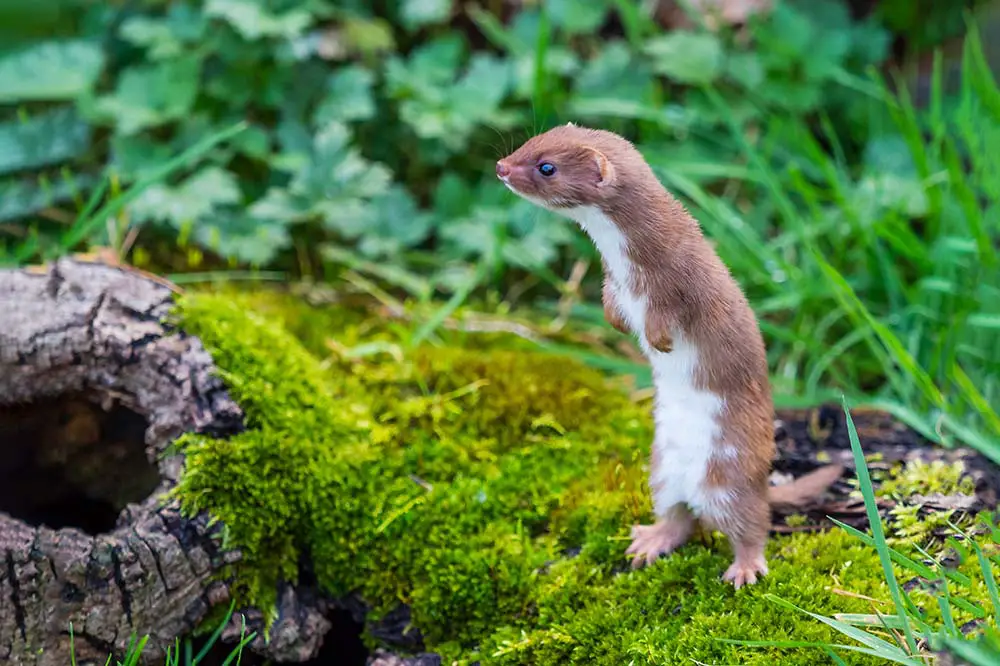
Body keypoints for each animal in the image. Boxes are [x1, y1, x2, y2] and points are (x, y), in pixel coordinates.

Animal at [496, 122, 840, 584]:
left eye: (546, 167)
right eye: (530, 143)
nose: (501, 166)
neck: (627, 265)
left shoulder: (678, 285)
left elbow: (670, 315)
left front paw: (659, 340)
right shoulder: (613, 283)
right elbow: (611, 304)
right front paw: (620, 324)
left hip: (729, 476)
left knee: (751, 524)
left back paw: (745, 567)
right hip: (660, 472)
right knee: (680, 519)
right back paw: (651, 540)